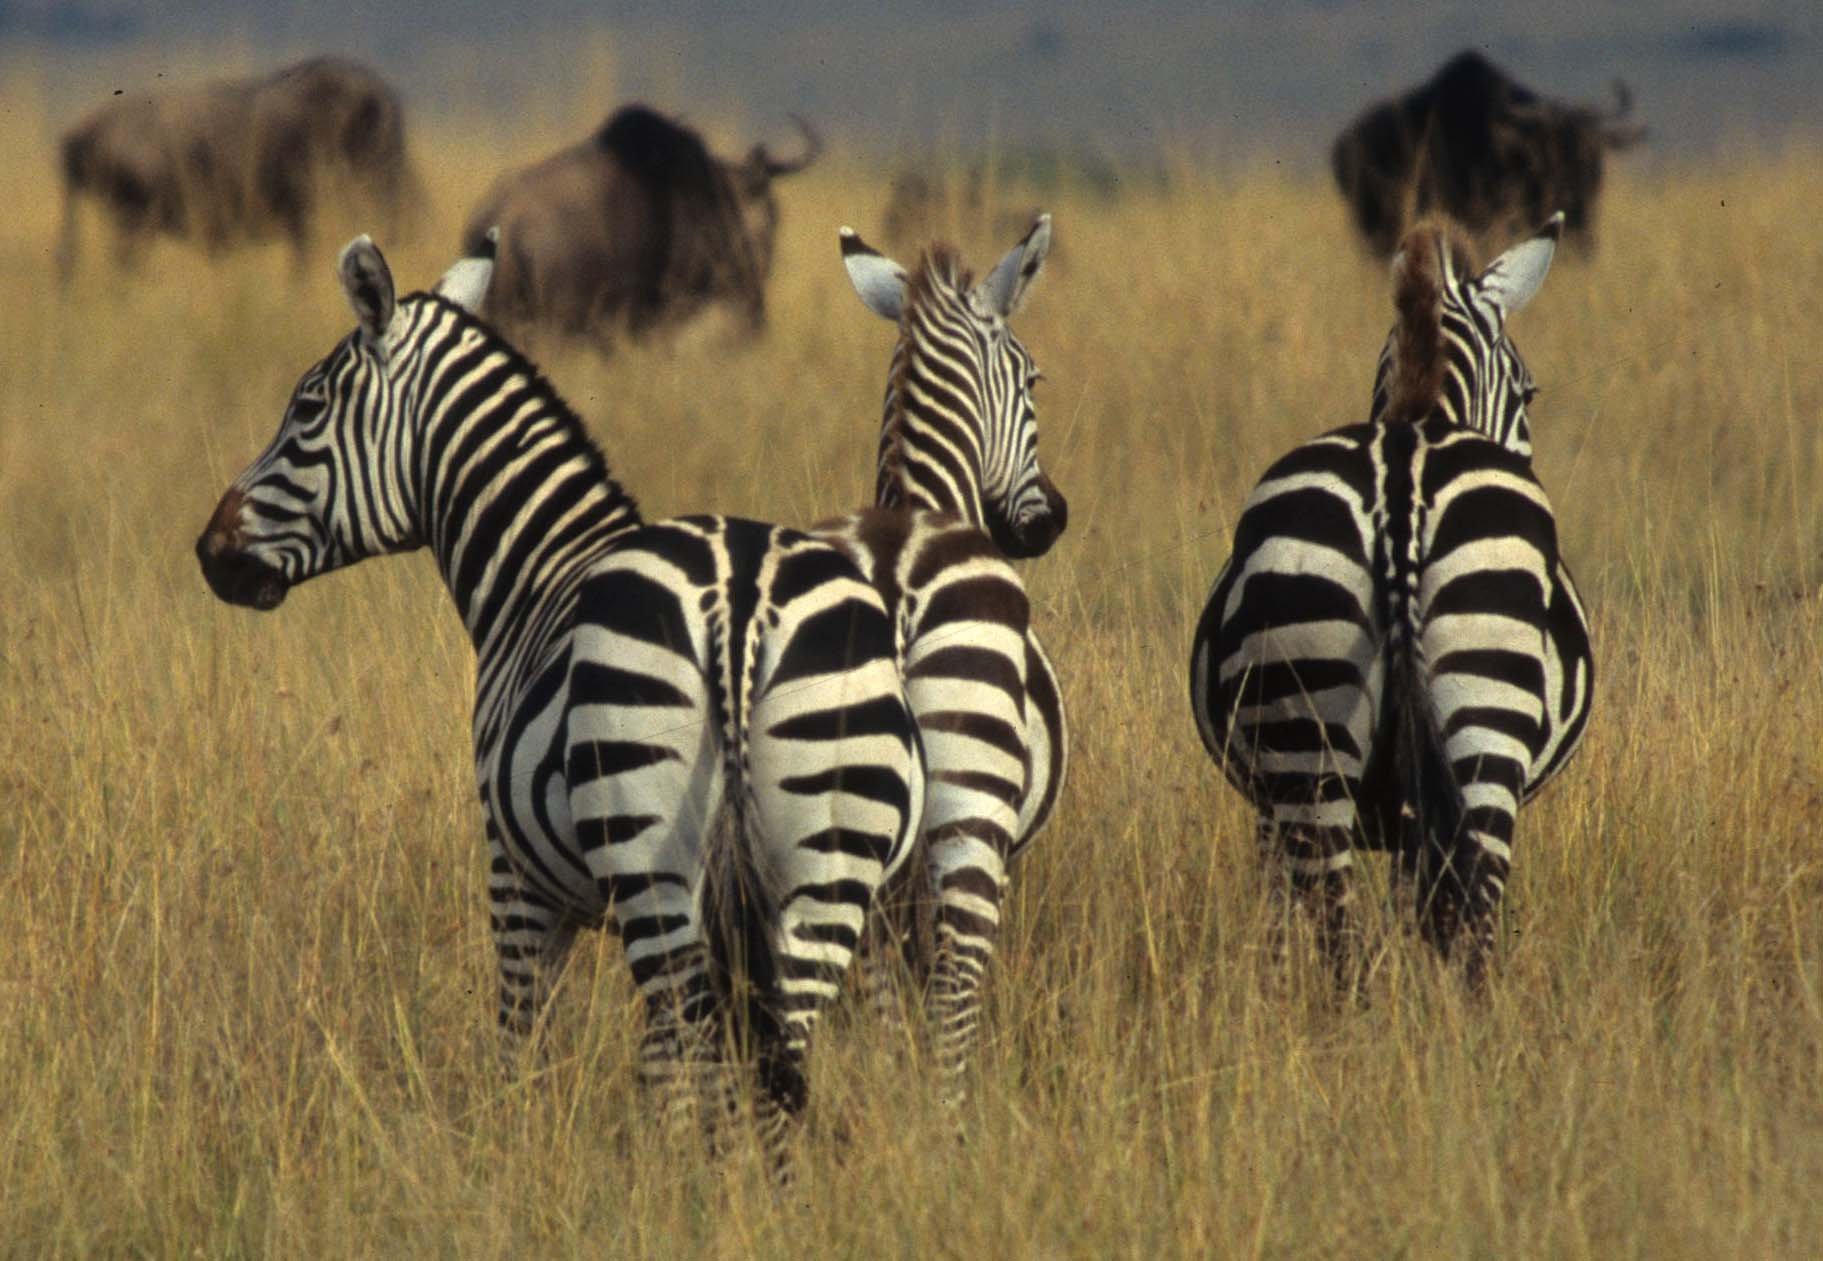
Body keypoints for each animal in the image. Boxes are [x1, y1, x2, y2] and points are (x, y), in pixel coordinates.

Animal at [195, 230, 926, 1168]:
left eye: (308, 408)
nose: (210, 551)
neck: (537, 568)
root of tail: (737, 597)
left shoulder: (515, 874)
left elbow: (523, 1044)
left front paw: (513, 1156)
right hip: (826, 862)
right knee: (773, 1060)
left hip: (651, 855)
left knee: (696, 1044)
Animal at [811, 214, 1068, 1104]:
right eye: (1032, 380)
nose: (1048, 521)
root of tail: (892, 588)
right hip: (971, 814)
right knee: (954, 986)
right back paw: (951, 1119)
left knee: (868, 978)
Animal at [1189, 213, 1592, 986]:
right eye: (1528, 392)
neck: (1417, 409)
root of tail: (1401, 476)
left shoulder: (1278, 807)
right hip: (1470, 728)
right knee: (1459, 925)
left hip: (1315, 720)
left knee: (1343, 927)